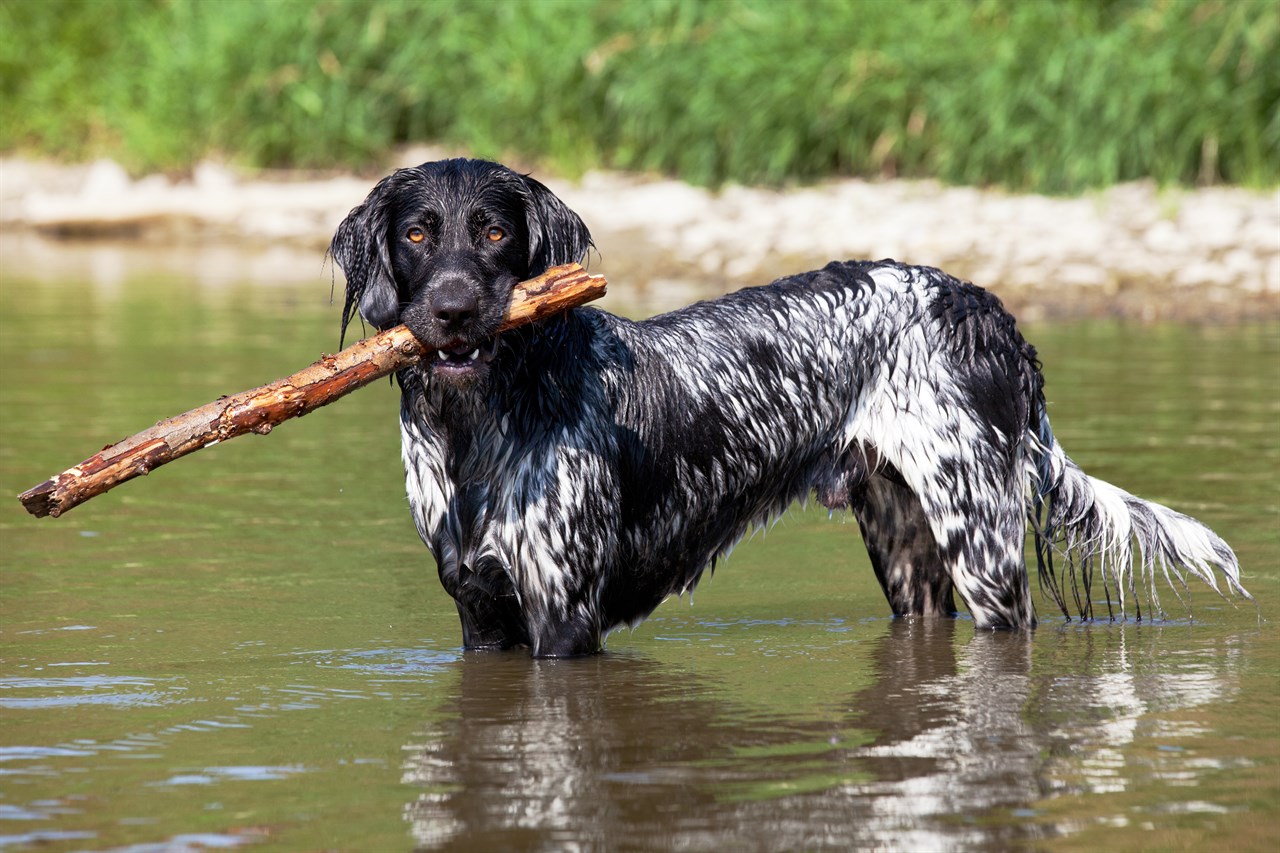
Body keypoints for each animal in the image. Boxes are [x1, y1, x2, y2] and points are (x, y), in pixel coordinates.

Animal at [330, 156, 1249, 653]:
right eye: (417, 233)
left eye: (494, 232)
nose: (452, 311)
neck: (476, 428)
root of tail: (989, 311)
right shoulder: (481, 613)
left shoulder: (563, 612)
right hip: (907, 552)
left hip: (983, 547)